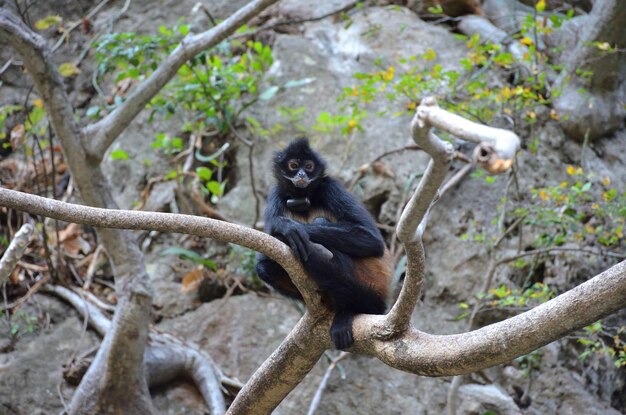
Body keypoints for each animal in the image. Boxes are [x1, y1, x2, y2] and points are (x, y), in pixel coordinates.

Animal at [252, 139, 390, 352]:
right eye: (293, 165)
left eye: (309, 166)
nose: (301, 174)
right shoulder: (276, 193)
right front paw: (285, 227)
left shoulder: (330, 186)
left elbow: (372, 240)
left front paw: (288, 229)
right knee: (265, 267)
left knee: (320, 223)